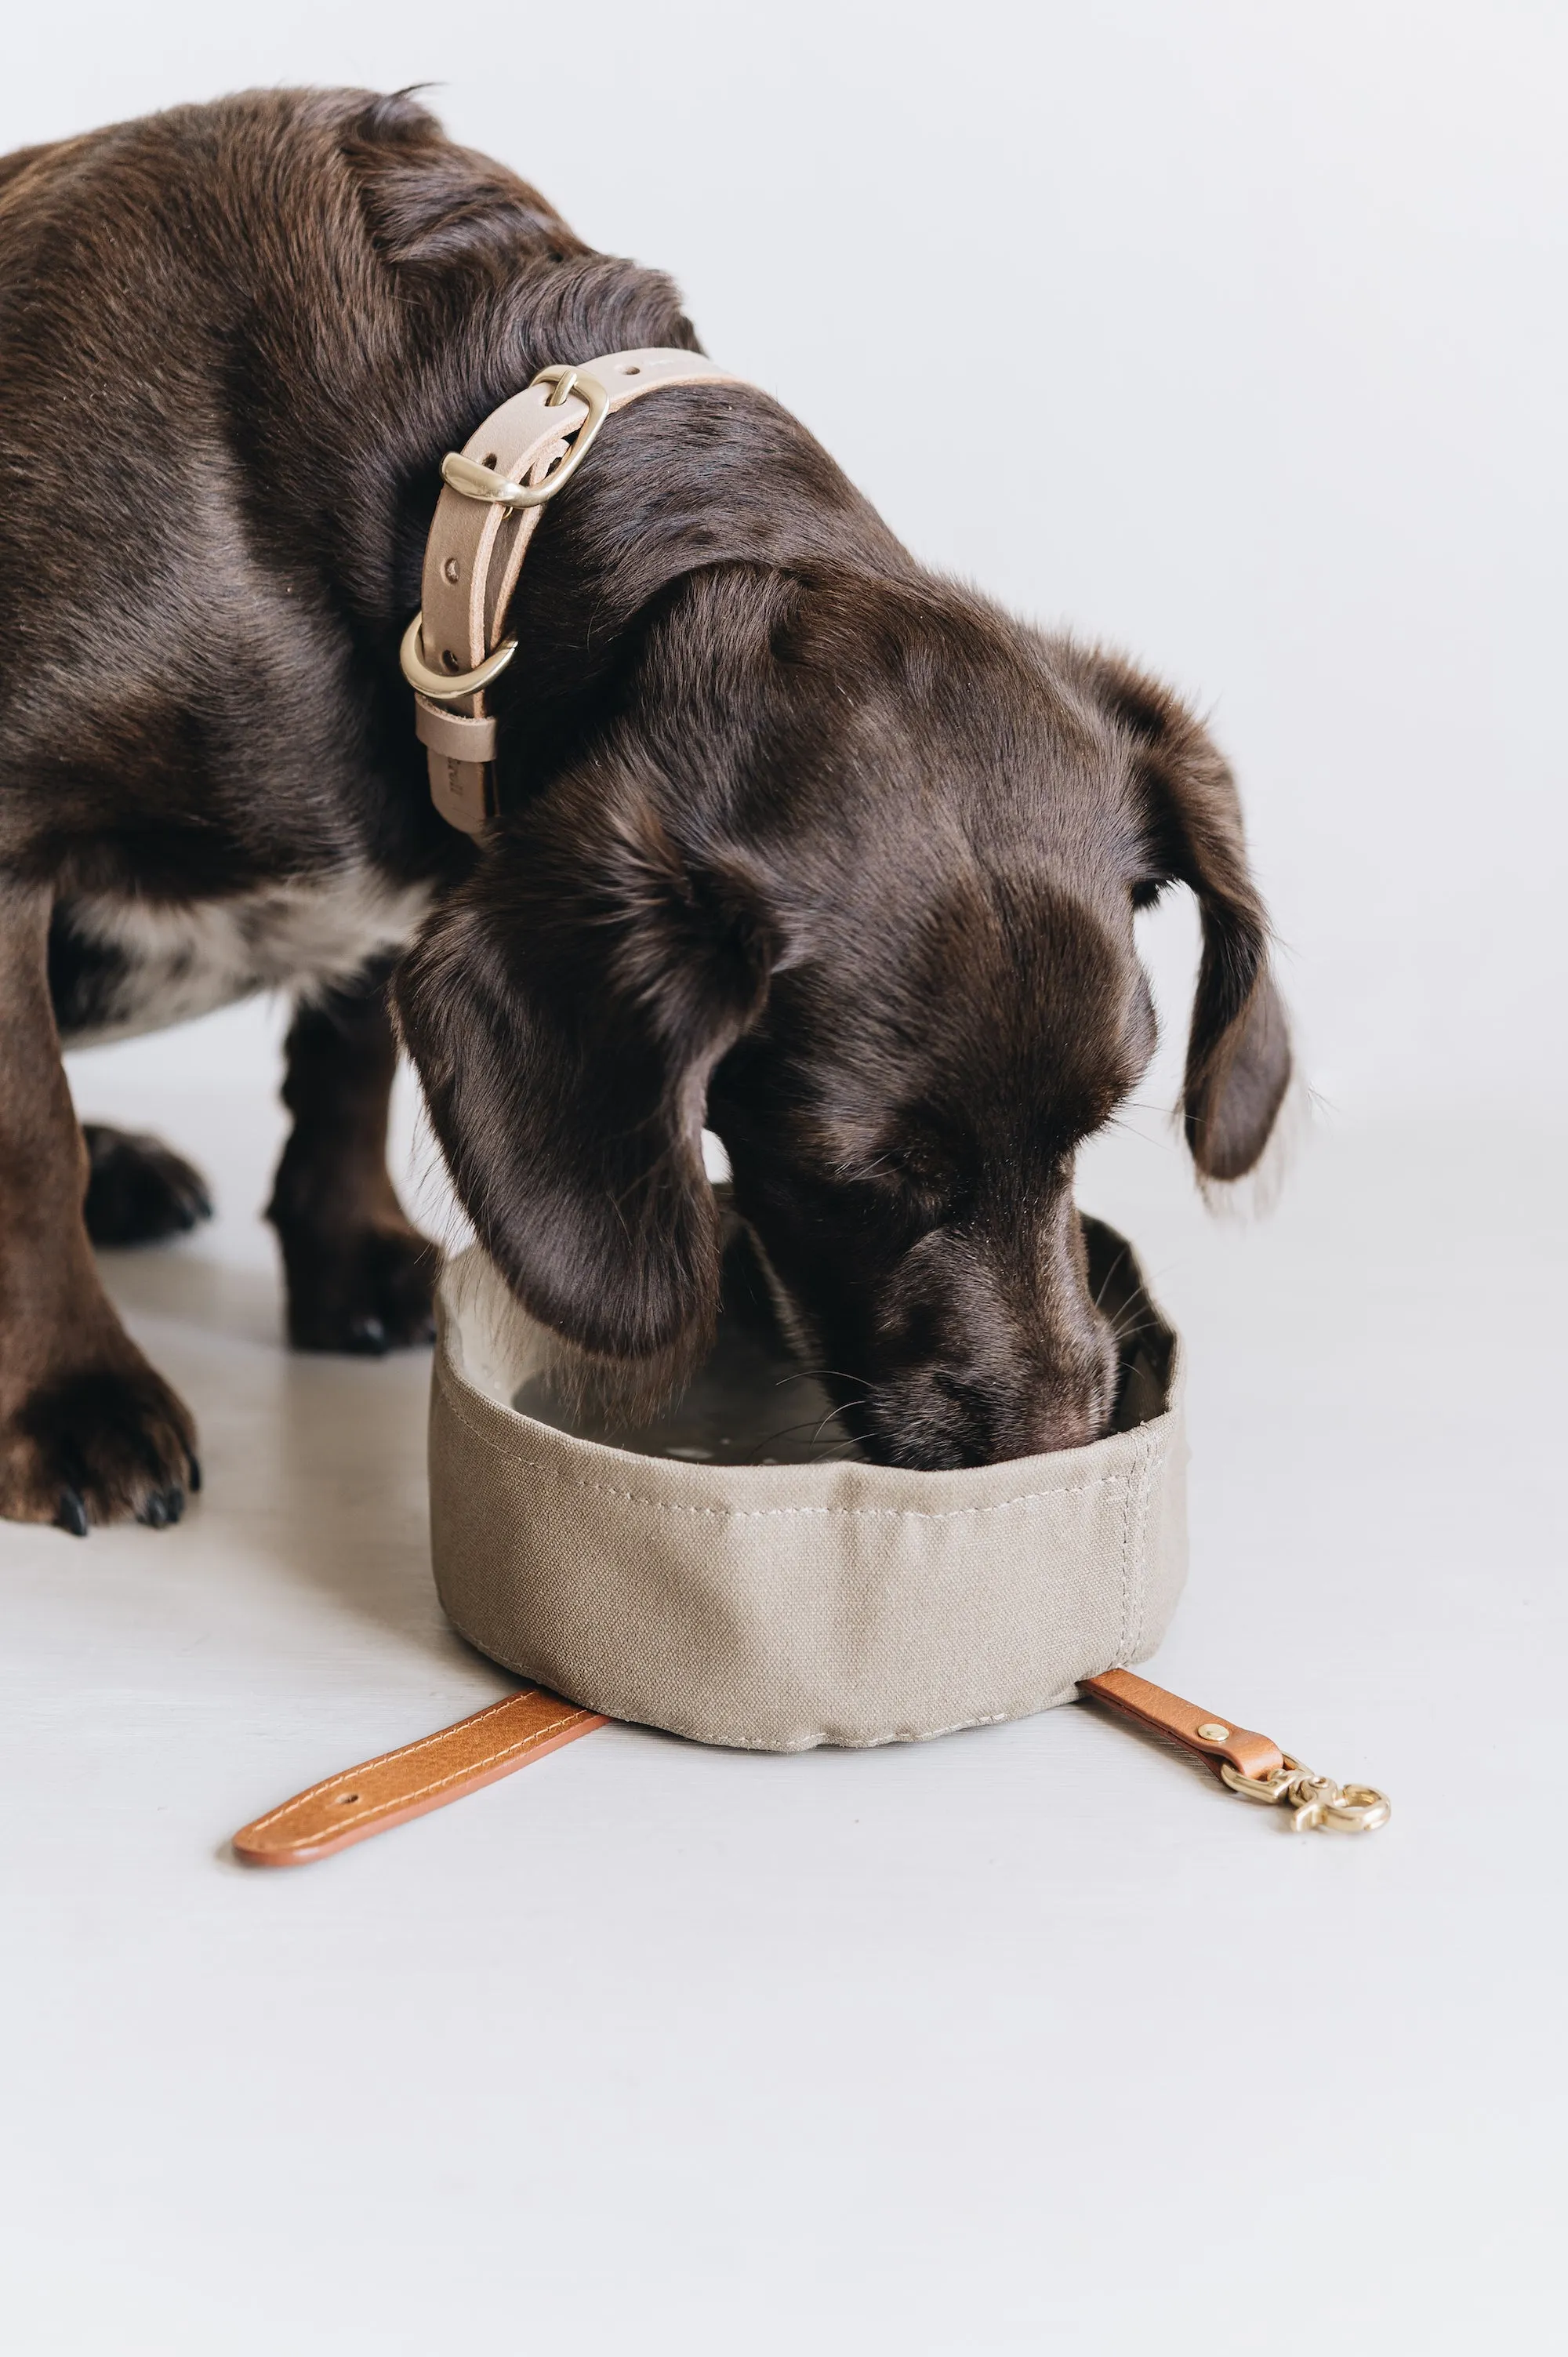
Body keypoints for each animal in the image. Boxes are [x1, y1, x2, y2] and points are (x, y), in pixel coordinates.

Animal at [0, 87, 1292, 1527]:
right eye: (856, 1174)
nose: (1055, 1441)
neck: (462, 478)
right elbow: (30, 1142)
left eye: (1094, 1127)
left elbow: (347, 1062)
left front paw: (344, 1256)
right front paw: (73, 1392)